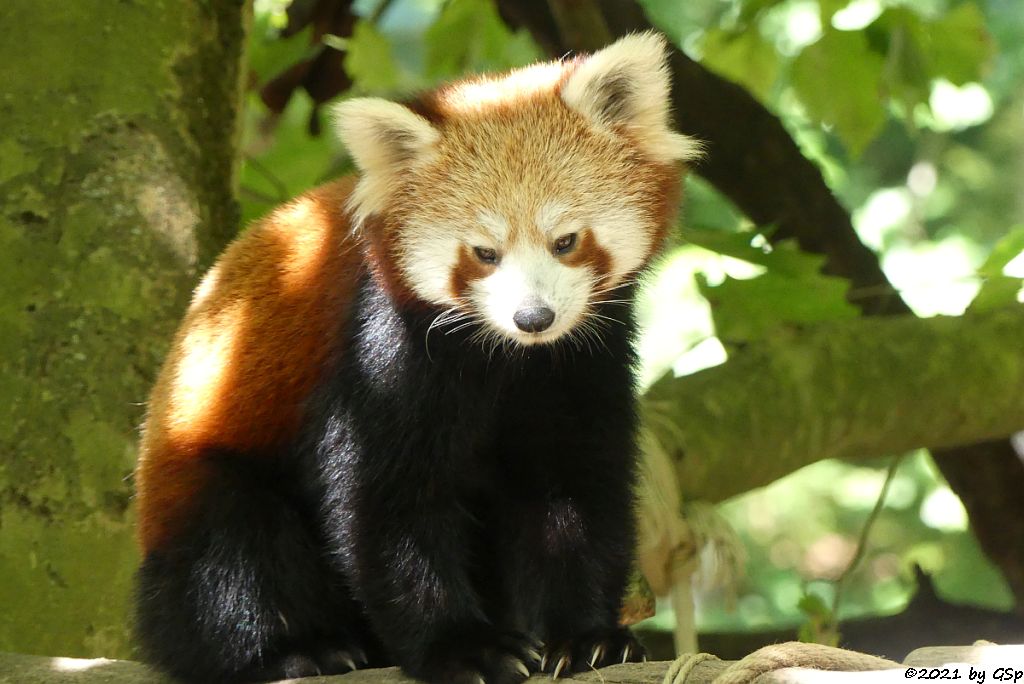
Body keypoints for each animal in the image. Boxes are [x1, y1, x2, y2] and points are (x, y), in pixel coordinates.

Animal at [134, 30, 696, 684]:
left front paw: (586, 636)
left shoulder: (582, 361)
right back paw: (292, 651)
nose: (533, 319)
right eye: (484, 253)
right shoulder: (385, 352)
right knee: (231, 548)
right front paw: (460, 647)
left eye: (566, 242)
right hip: (195, 481)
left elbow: (574, 484)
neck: (508, 358)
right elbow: (388, 503)